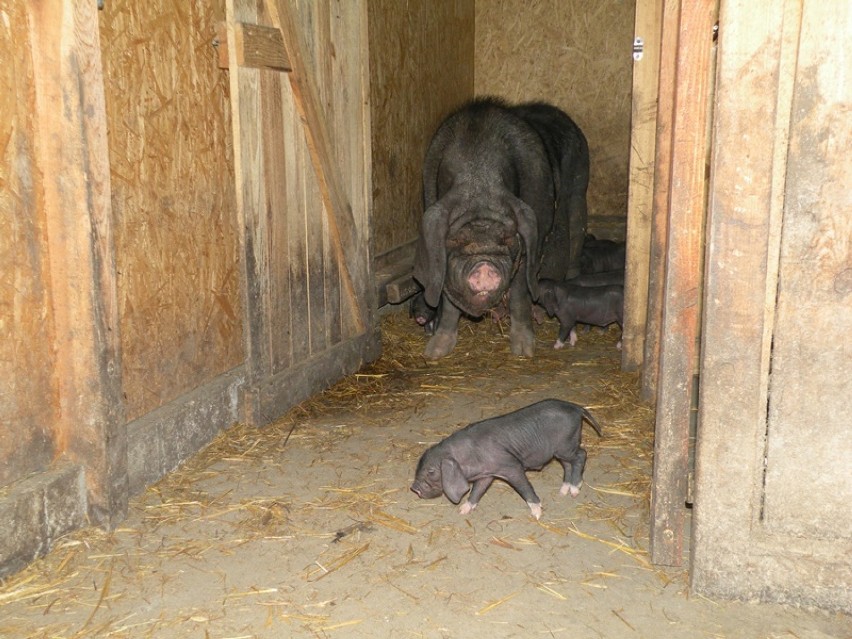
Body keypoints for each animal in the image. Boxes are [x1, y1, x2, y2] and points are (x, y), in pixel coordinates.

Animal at [412, 99, 584, 360]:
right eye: (456, 239)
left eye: (508, 238)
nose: (484, 266)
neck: (477, 172)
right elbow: (447, 298)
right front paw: (434, 352)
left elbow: (521, 290)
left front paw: (524, 350)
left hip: (578, 191)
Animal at [412, 400, 600, 520]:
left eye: (431, 471)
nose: (414, 488)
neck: (467, 457)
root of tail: (576, 407)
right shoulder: (486, 474)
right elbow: (477, 491)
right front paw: (463, 511)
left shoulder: (511, 466)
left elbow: (524, 488)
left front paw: (537, 514)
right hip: (560, 451)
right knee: (568, 464)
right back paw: (562, 492)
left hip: (566, 445)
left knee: (581, 455)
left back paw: (575, 491)